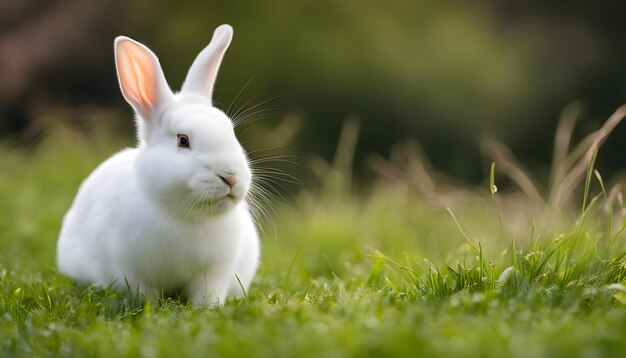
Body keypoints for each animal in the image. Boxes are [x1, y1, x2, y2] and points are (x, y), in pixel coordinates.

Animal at [54, 23, 258, 306]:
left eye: (231, 132)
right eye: (183, 140)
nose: (231, 177)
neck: (186, 216)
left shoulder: (215, 272)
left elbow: (207, 295)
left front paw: (206, 309)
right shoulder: (131, 270)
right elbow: (145, 294)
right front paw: (153, 307)